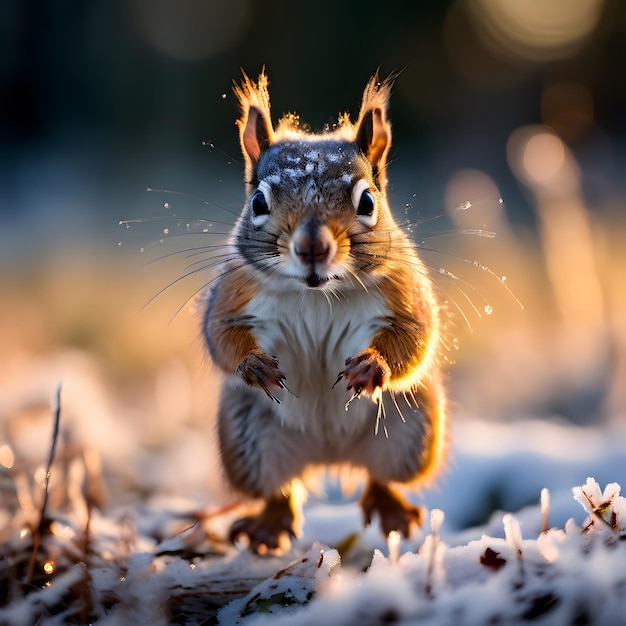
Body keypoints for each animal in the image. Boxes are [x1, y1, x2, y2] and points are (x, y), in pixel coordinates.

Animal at [202, 72, 446, 552]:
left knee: (381, 477)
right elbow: (221, 337)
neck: (317, 294)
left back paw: (391, 509)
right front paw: (253, 364)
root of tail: (328, 454)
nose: (312, 246)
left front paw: (372, 366)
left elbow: (415, 337)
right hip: (246, 443)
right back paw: (268, 525)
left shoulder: (403, 292)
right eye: (258, 203)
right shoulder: (232, 294)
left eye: (367, 202)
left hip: (412, 431)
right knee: (278, 489)